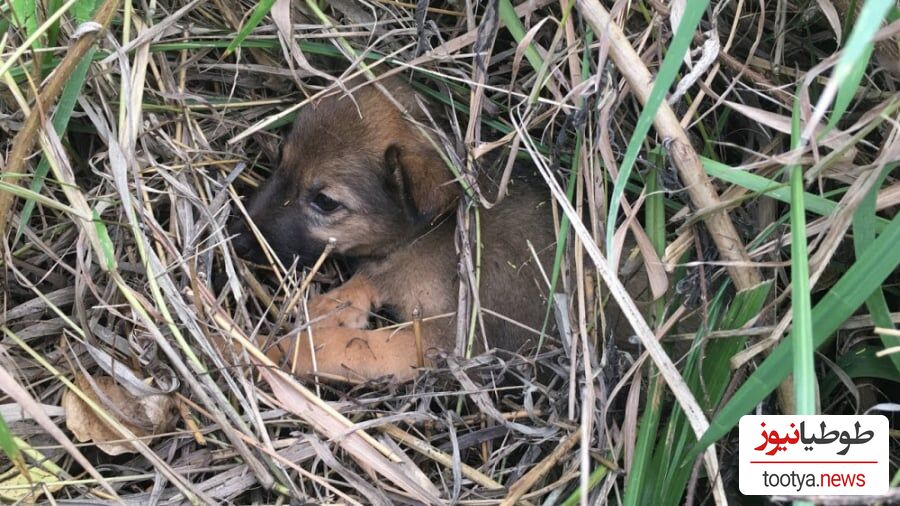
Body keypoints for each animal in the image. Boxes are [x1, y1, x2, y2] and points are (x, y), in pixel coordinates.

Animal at [230, 78, 556, 380]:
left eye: (325, 201)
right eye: (280, 159)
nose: (236, 239)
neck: (427, 234)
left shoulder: (435, 340)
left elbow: (340, 346)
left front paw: (261, 348)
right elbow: (366, 282)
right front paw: (326, 308)